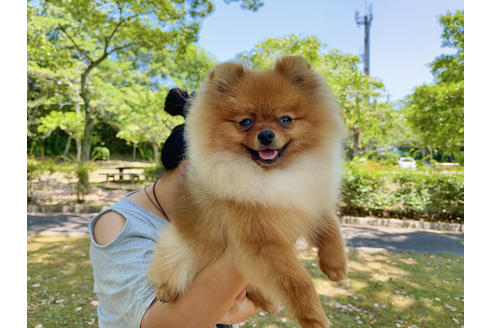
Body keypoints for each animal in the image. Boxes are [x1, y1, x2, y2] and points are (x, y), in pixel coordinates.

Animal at [149, 56, 346, 328]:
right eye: (245, 122)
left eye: (285, 120)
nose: (266, 134)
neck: (273, 173)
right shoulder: (261, 239)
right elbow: (297, 282)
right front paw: (315, 319)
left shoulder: (306, 196)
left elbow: (329, 226)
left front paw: (335, 264)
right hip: (177, 246)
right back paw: (167, 291)